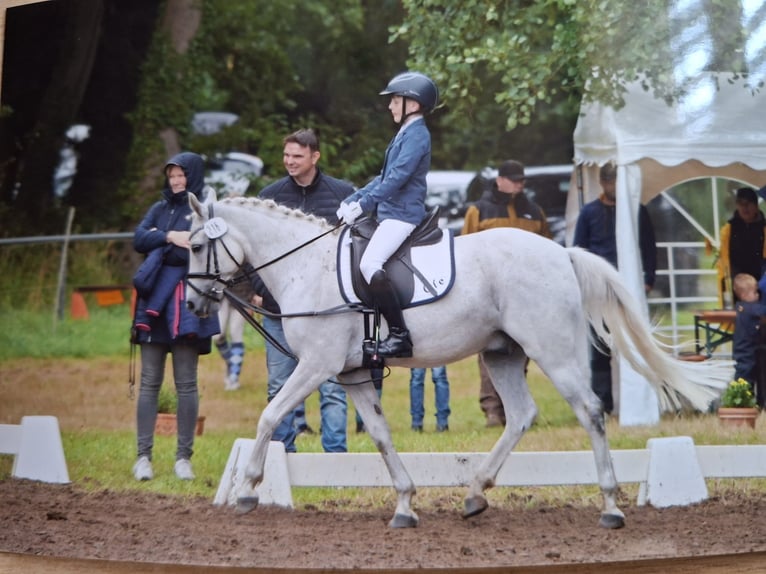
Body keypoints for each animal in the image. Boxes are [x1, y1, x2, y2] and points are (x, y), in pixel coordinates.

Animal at [185, 192, 730, 529]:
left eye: (192, 246)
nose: (192, 305)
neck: (306, 267)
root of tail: (562, 253)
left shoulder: (317, 367)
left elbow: (269, 415)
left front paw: (248, 489)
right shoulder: (354, 373)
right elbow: (380, 435)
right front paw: (405, 505)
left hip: (552, 351)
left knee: (591, 412)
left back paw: (611, 507)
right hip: (502, 353)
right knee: (521, 415)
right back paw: (475, 493)